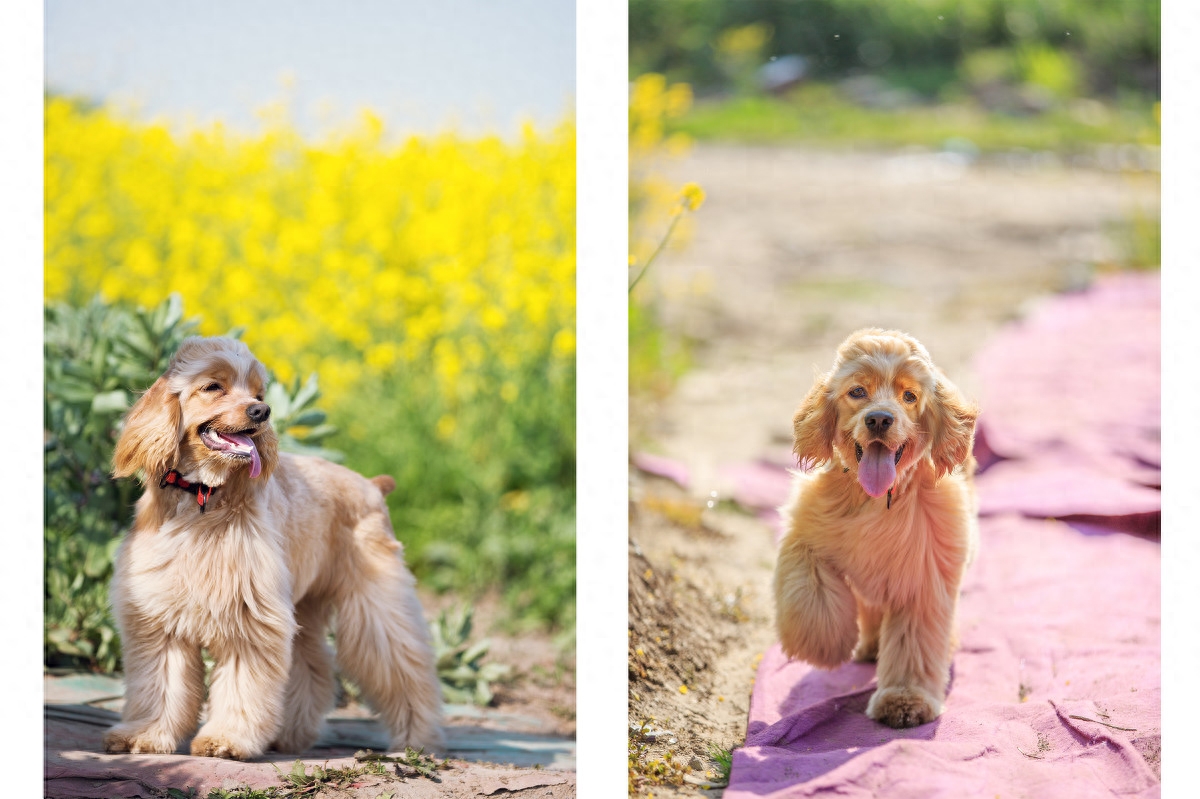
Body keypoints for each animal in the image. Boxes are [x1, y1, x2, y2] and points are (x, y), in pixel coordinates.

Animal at [102, 333, 441, 758]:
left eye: (258, 392)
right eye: (213, 387)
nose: (261, 411)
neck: (203, 495)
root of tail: (372, 485)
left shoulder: (248, 616)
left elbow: (241, 685)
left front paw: (227, 738)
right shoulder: (159, 619)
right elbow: (159, 685)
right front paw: (144, 734)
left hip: (375, 604)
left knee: (406, 670)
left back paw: (416, 740)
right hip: (305, 605)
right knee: (314, 665)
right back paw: (290, 734)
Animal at [772, 326, 979, 724]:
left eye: (909, 396)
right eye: (857, 391)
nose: (880, 419)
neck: (877, 499)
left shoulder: (924, 574)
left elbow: (915, 642)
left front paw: (905, 699)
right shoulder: (808, 532)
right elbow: (810, 592)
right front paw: (824, 645)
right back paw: (867, 645)